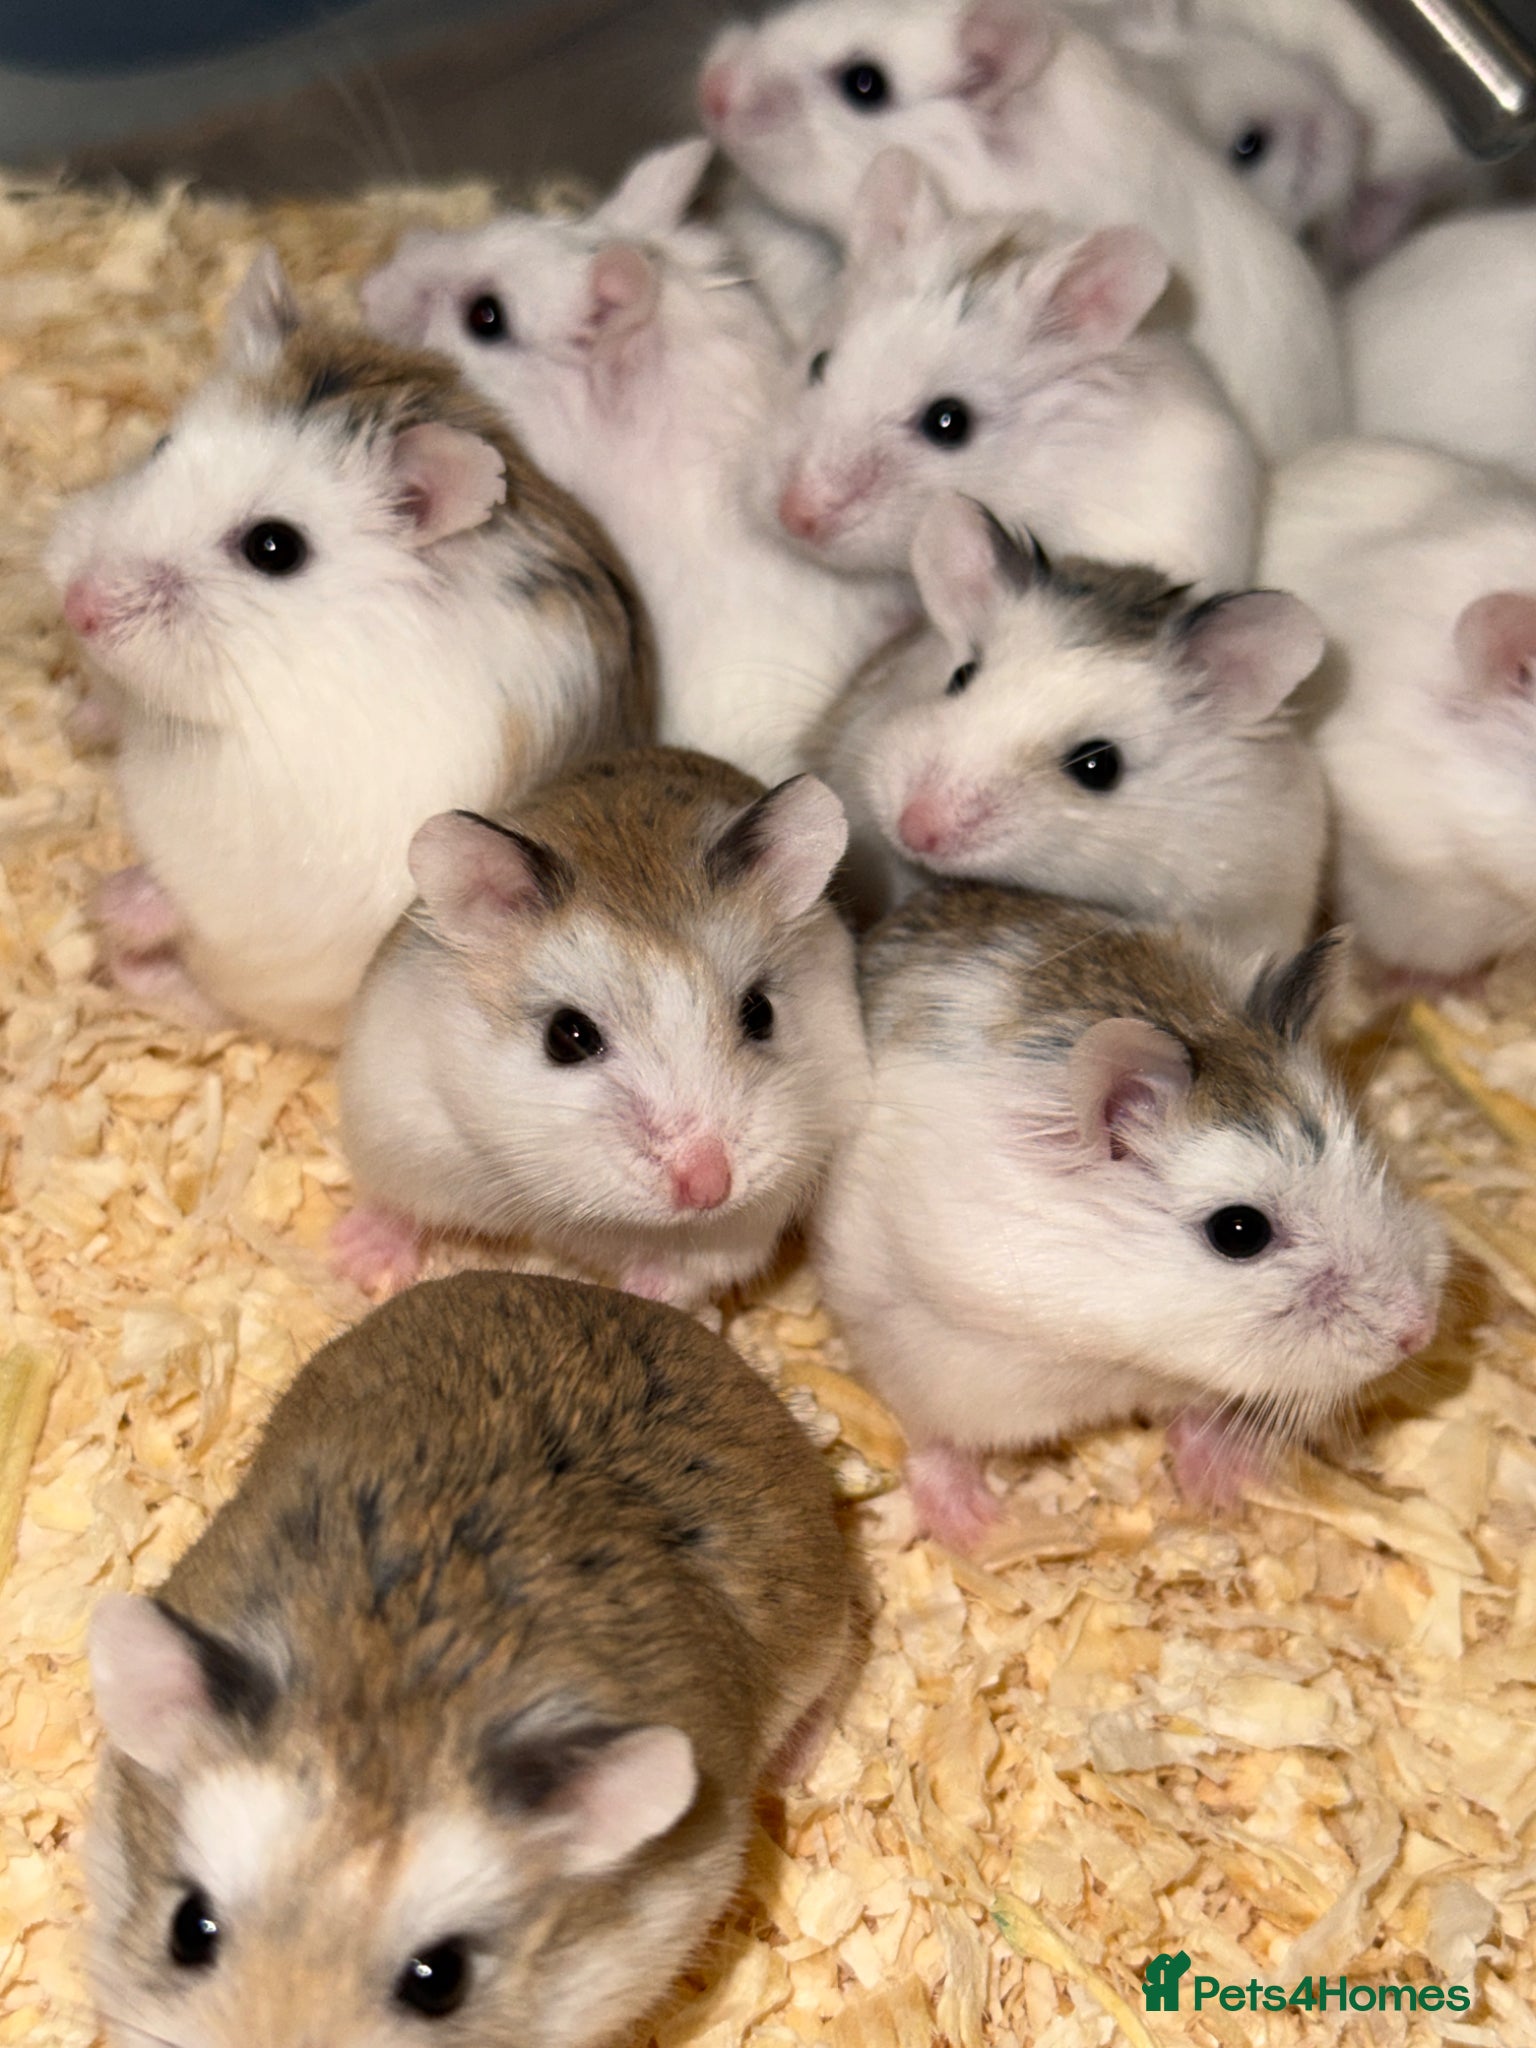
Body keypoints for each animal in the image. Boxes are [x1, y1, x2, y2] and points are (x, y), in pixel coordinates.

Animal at [45, 251, 652, 1047]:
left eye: (274, 548)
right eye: (160, 447)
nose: (78, 607)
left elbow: (198, 904)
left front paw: (106, 898)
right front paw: (78, 721)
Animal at [335, 747, 867, 1307]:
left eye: (760, 1013)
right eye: (566, 1036)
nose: (708, 1188)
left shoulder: (735, 1232)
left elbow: (675, 1276)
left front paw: (649, 1294)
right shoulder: (402, 1127)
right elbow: (394, 1203)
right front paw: (355, 1266)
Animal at [815, 884, 1446, 1550]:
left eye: (1369, 1151)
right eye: (1239, 1232)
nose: (1419, 1331)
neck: (1125, 1346)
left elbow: (1201, 1408)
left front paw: (1227, 1493)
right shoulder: (928, 1347)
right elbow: (936, 1439)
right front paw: (986, 1535)